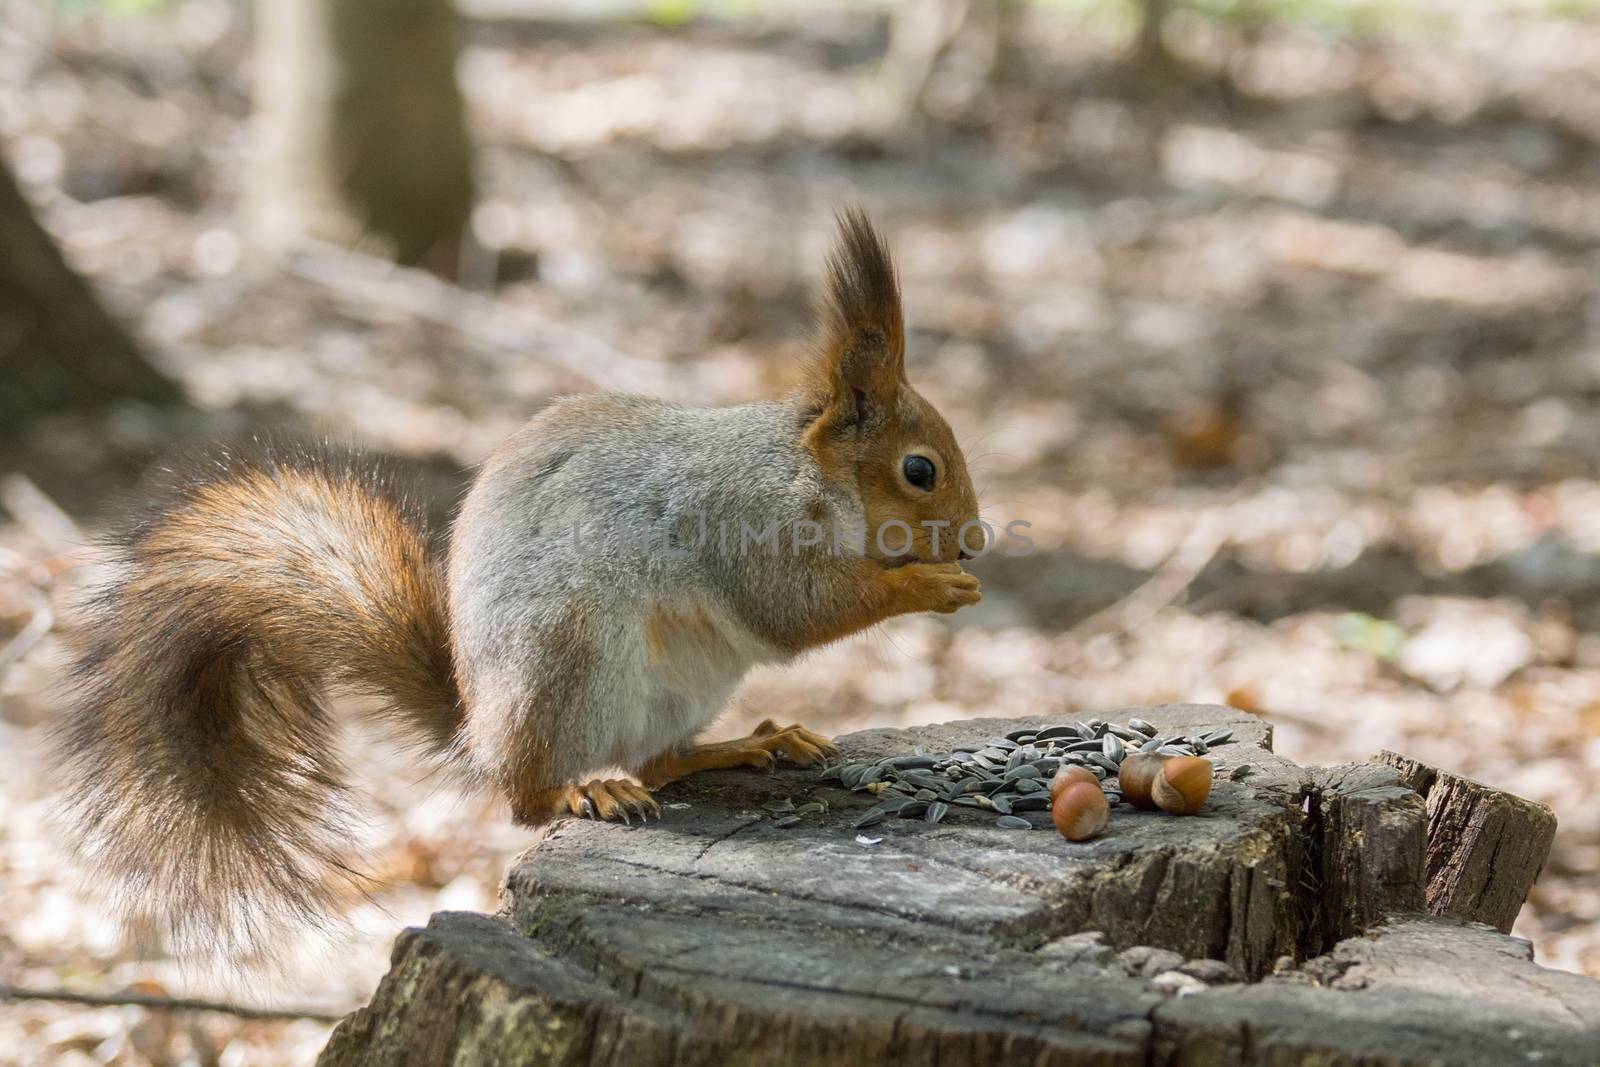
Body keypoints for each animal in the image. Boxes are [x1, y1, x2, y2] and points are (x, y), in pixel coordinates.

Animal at [53, 207, 985, 959]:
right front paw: (930, 586)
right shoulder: (745, 520)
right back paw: (585, 786)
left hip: (677, 686)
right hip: (564, 659)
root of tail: (480, 727)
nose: (974, 541)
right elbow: (799, 607)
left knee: (661, 757)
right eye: (920, 469)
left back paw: (751, 741)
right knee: (528, 799)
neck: (808, 473)